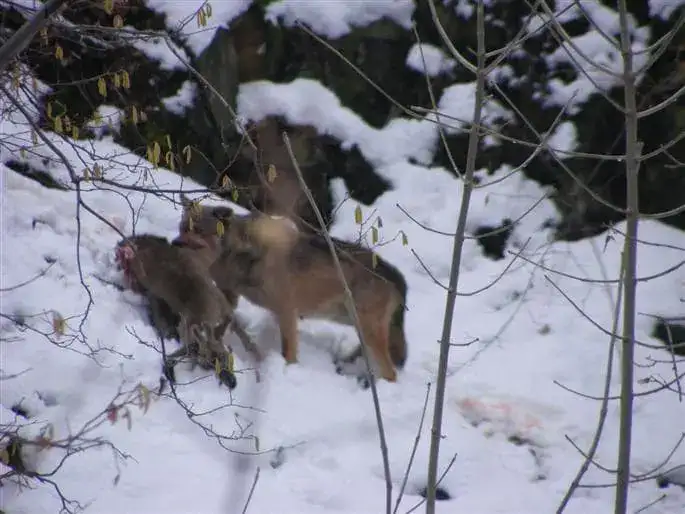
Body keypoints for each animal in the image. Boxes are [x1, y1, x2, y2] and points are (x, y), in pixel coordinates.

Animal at [175, 197, 406, 384]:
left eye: (197, 230)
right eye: (182, 227)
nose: (174, 242)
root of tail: (398, 276)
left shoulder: (286, 311)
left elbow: (288, 352)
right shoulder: (229, 296)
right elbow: (217, 327)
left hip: (367, 331)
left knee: (391, 373)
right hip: (355, 326)